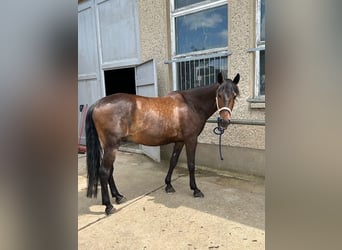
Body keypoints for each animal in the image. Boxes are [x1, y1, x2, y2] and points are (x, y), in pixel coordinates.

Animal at [85, 72, 240, 215]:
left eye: (234, 96)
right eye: (219, 95)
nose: (224, 122)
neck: (191, 104)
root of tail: (97, 104)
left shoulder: (180, 141)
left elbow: (173, 161)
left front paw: (169, 185)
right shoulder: (191, 139)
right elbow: (191, 165)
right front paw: (195, 189)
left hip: (110, 147)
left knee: (109, 171)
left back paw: (118, 196)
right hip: (111, 147)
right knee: (104, 172)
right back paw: (108, 206)